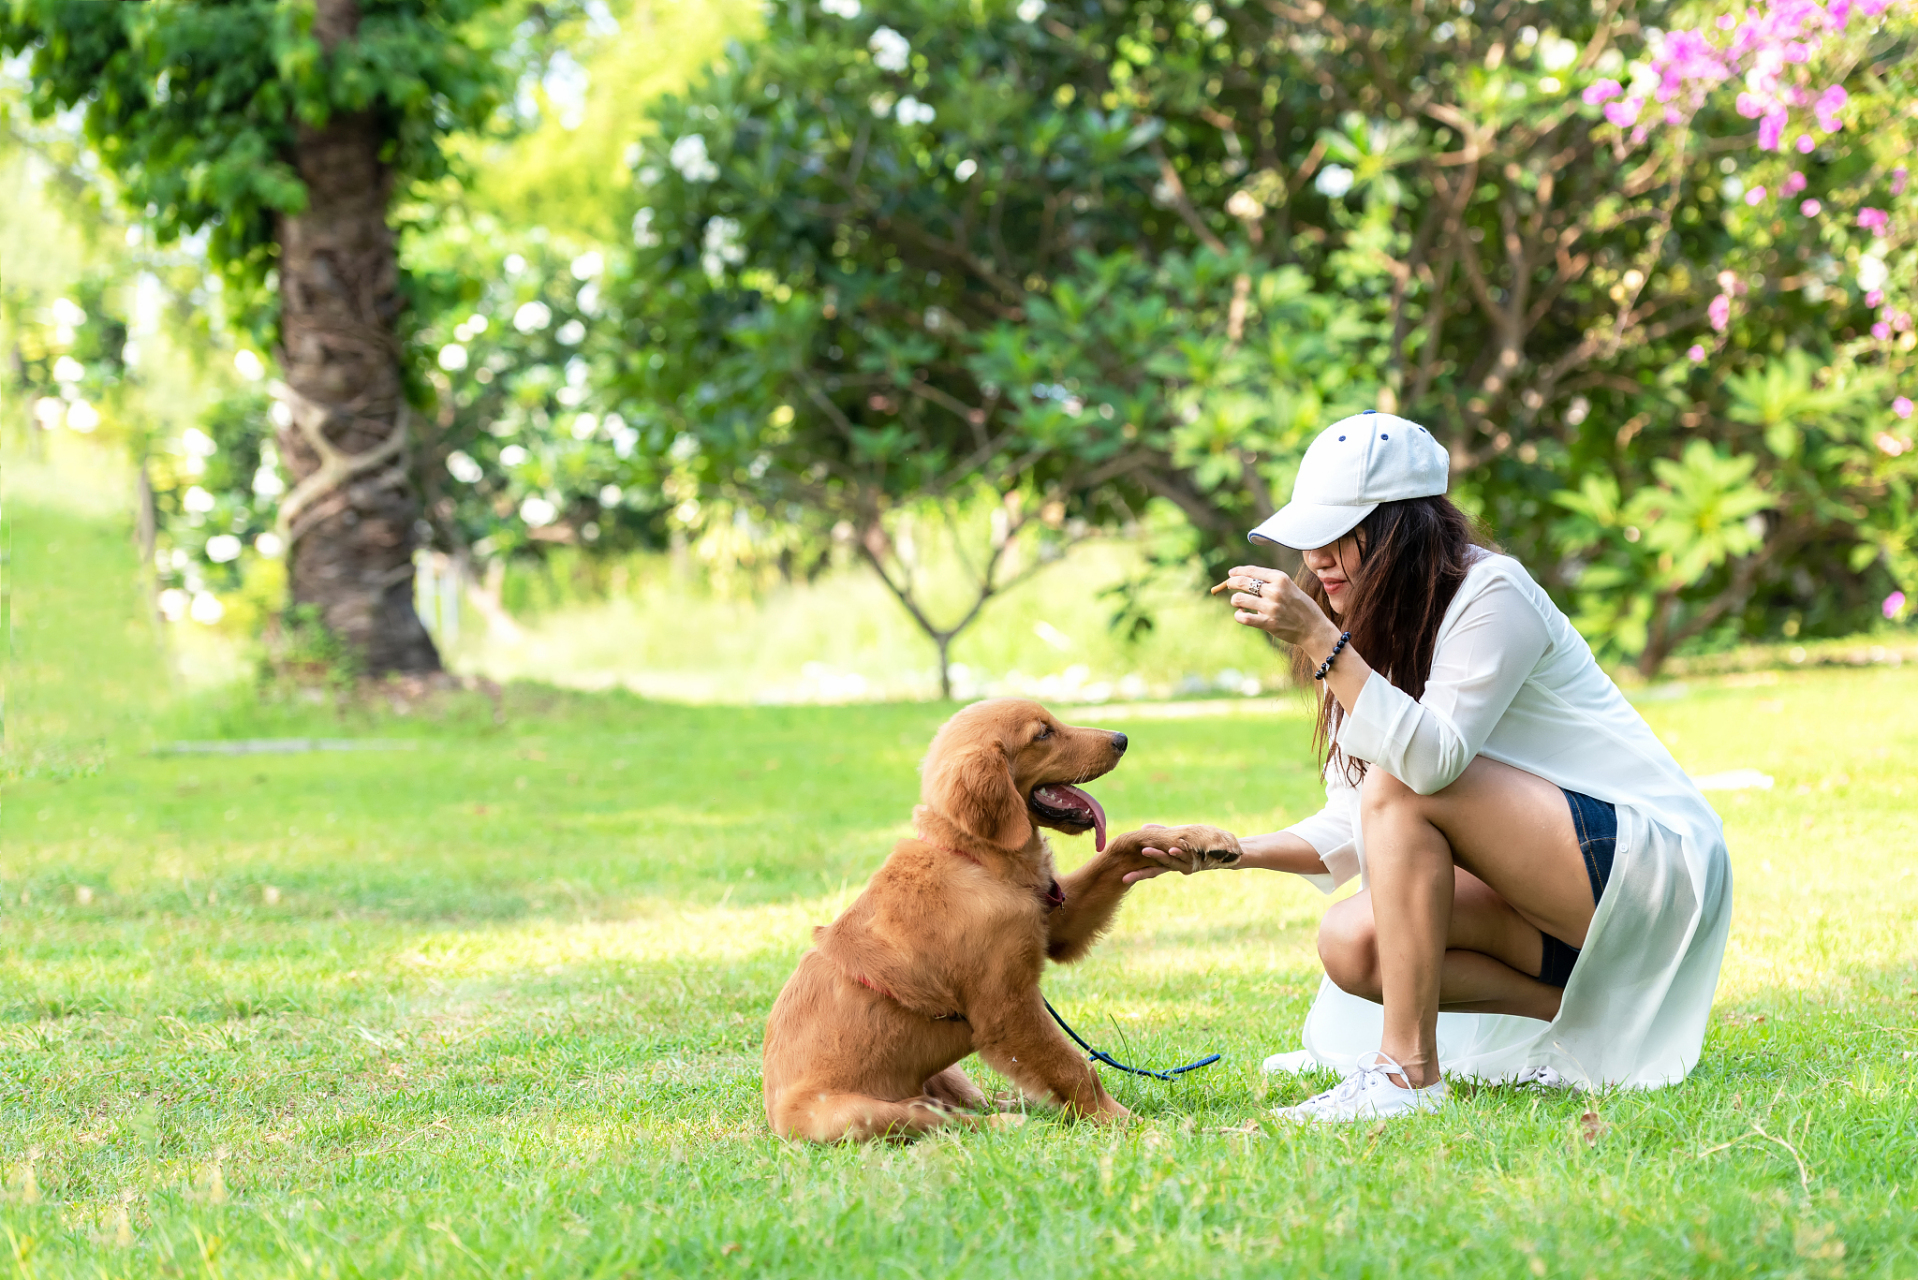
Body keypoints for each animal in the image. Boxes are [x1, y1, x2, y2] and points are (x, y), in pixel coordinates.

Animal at [763, 694, 1242, 1143]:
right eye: (1042, 733)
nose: (1121, 739)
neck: (978, 861)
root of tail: (774, 1118)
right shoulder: (1009, 1010)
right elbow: (1075, 1068)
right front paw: (1131, 1125)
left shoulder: (1056, 922)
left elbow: (1124, 844)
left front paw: (1196, 838)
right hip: (862, 1115)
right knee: (951, 1121)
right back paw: (1015, 1122)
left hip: (949, 1076)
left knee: (971, 1102)